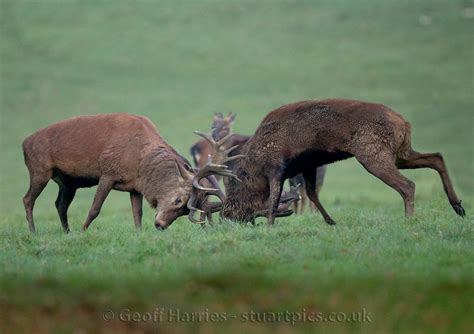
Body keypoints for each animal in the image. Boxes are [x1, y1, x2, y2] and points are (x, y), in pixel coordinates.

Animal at [22, 112, 235, 232]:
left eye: (184, 212)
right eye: (178, 200)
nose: (160, 225)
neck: (140, 161)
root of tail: (24, 143)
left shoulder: (134, 187)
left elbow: (137, 214)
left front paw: (139, 233)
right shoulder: (108, 172)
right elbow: (95, 209)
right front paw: (83, 231)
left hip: (68, 182)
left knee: (60, 204)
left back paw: (66, 232)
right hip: (39, 170)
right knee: (28, 199)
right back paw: (33, 231)